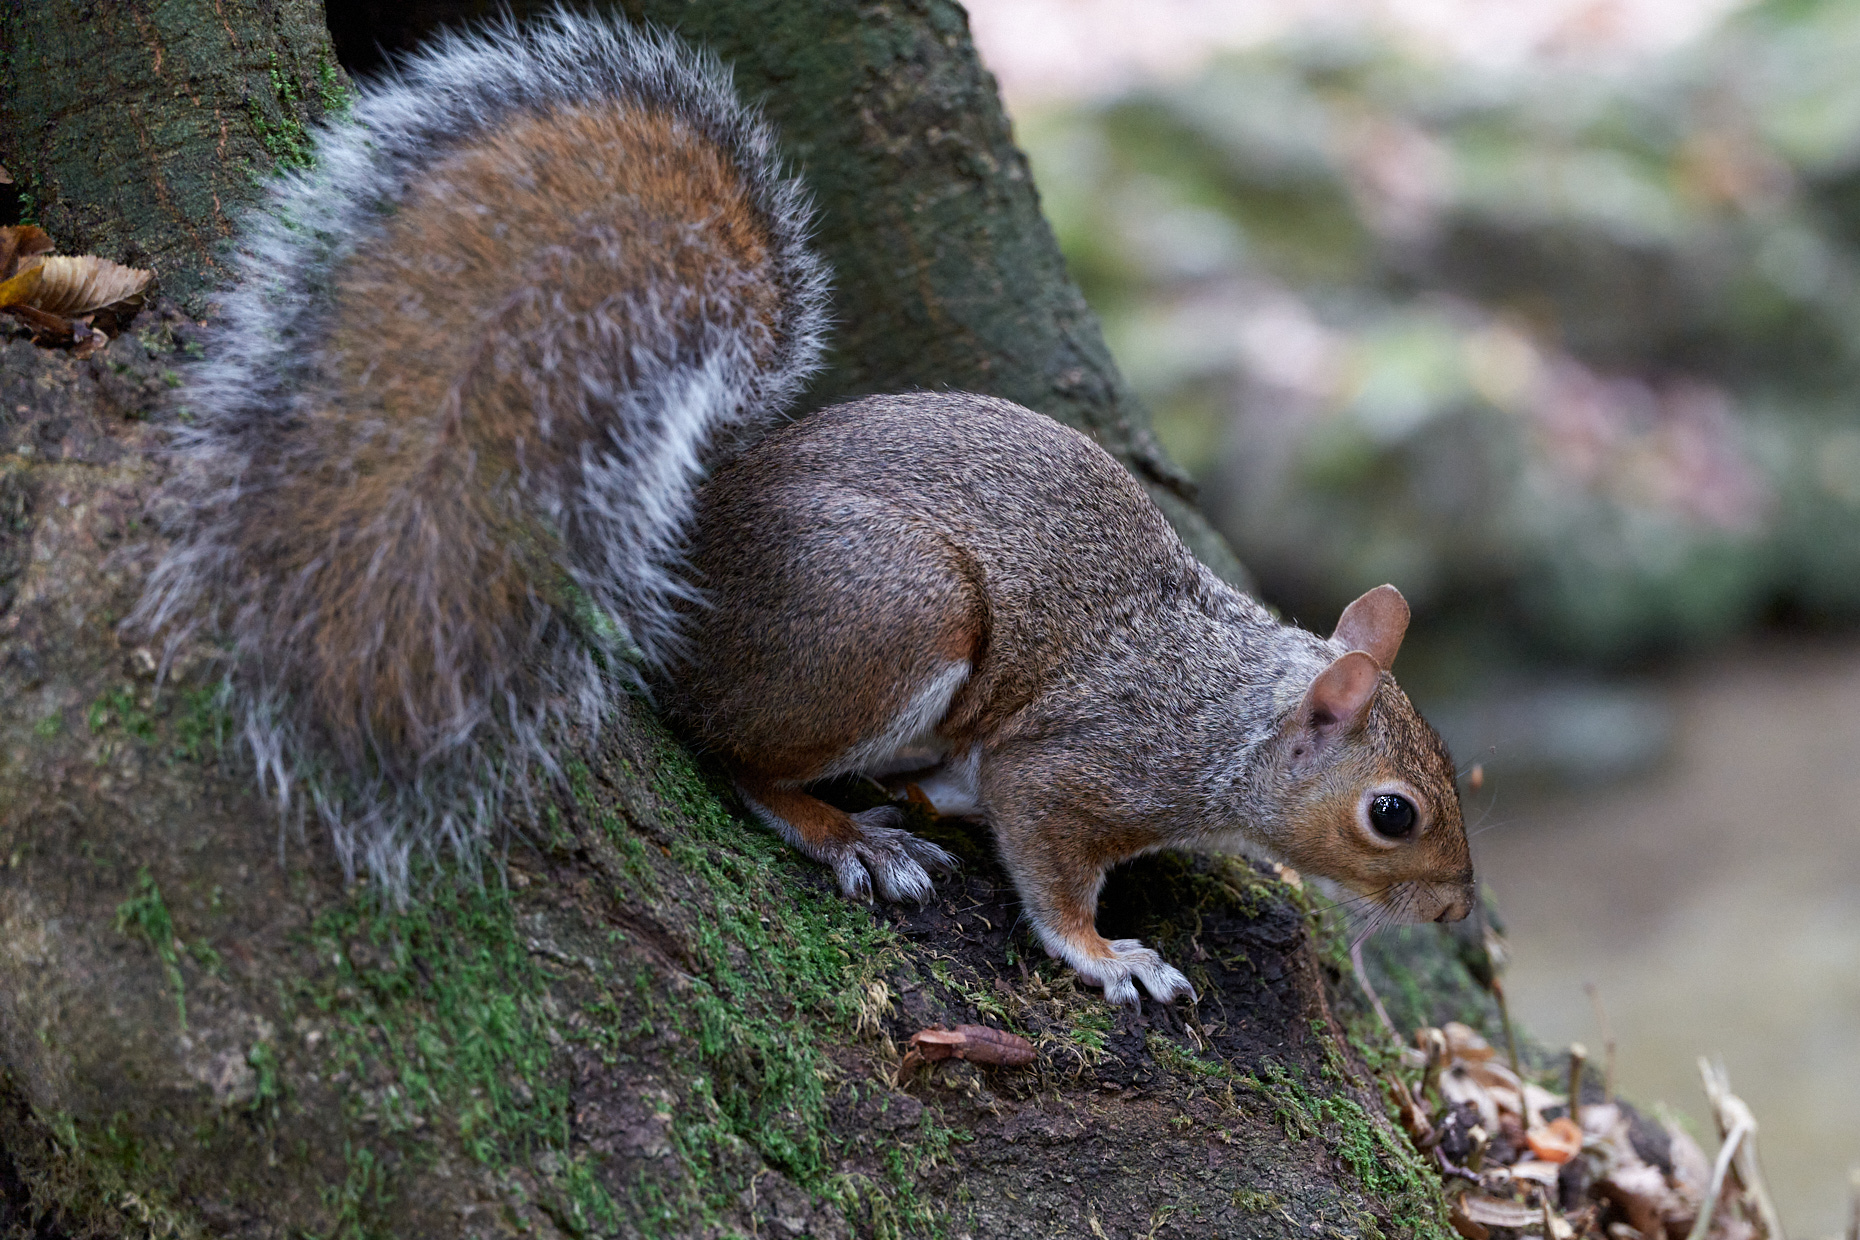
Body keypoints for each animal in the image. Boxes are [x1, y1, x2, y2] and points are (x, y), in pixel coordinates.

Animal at [133, 11, 1474, 1007]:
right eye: (1392, 813)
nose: (1456, 905)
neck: (1232, 716)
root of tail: (686, 539)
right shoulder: (1081, 763)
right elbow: (1048, 865)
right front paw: (1111, 956)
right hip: (892, 613)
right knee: (734, 757)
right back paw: (852, 836)